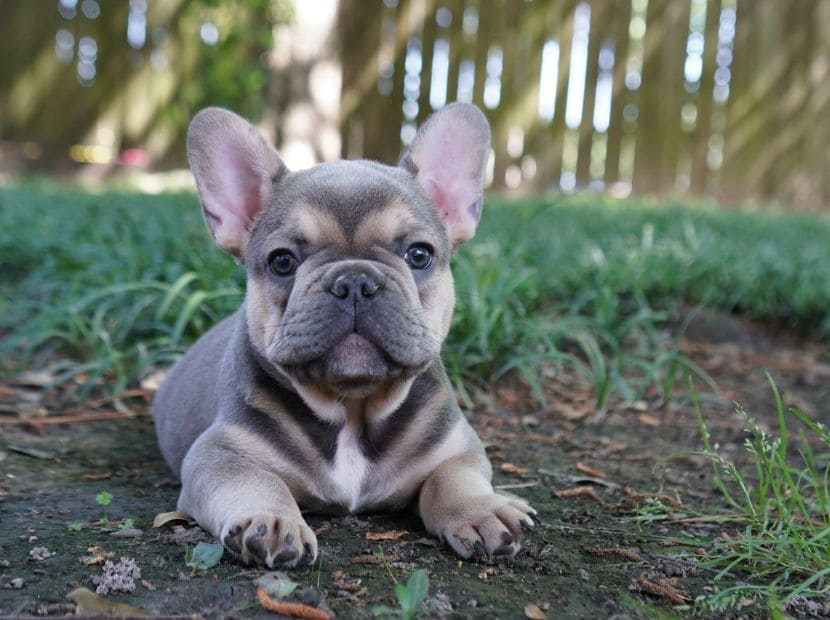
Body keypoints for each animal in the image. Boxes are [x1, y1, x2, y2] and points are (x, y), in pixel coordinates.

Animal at [152, 101, 536, 568]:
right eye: (282, 261)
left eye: (419, 254)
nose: (354, 281)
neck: (353, 409)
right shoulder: (218, 454)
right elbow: (256, 480)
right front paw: (271, 520)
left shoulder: (457, 447)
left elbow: (453, 477)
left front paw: (479, 509)